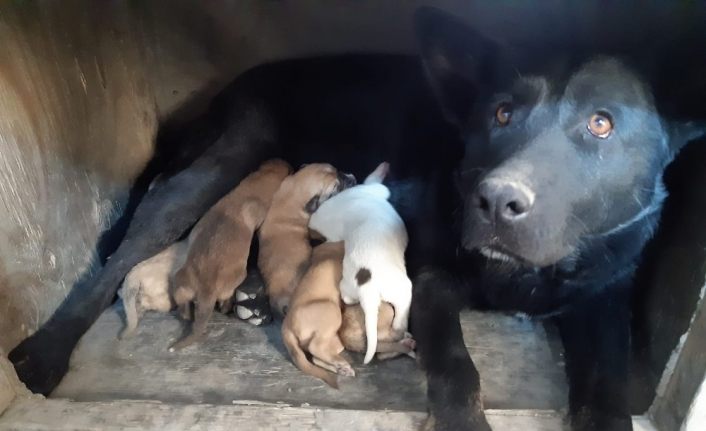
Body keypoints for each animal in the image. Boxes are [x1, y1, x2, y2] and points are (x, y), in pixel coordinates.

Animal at [170, 159, 292, 352]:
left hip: (181, 281)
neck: (252, 187)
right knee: (224, 300)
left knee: (184, 307)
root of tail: (206, 289)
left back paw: (186, 313)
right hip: (234, 280)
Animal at [280, 243, 352, 388]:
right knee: (315, 348)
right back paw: (342, 364)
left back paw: (342, 368)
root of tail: (286, 327)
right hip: (332, 311)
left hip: (335, 339)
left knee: (315, 358)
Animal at [308, 162, 412, 364]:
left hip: (347, 288)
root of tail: (367, 291)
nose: (349, 175)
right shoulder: (373, 188)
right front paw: (383, 168)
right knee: (399, 319)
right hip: (401, 290)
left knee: (348, 298)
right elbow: (374, 179)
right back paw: (402, 332)